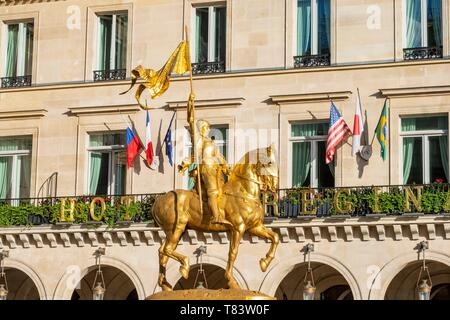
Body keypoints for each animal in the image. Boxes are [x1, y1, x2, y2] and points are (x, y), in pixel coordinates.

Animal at [153, 146, 280, 292]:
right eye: (269, 163)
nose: (274, 186)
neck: (244, 192)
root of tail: (159, 200)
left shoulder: (254, 227)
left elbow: (275, 237)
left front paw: (264, 263)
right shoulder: (238, 228)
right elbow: (233, 253)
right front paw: (231, 281)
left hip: (177, 232)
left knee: (162, 253)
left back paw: (165, 285)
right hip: (176, 228)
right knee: (166, 250)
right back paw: (184, 266)